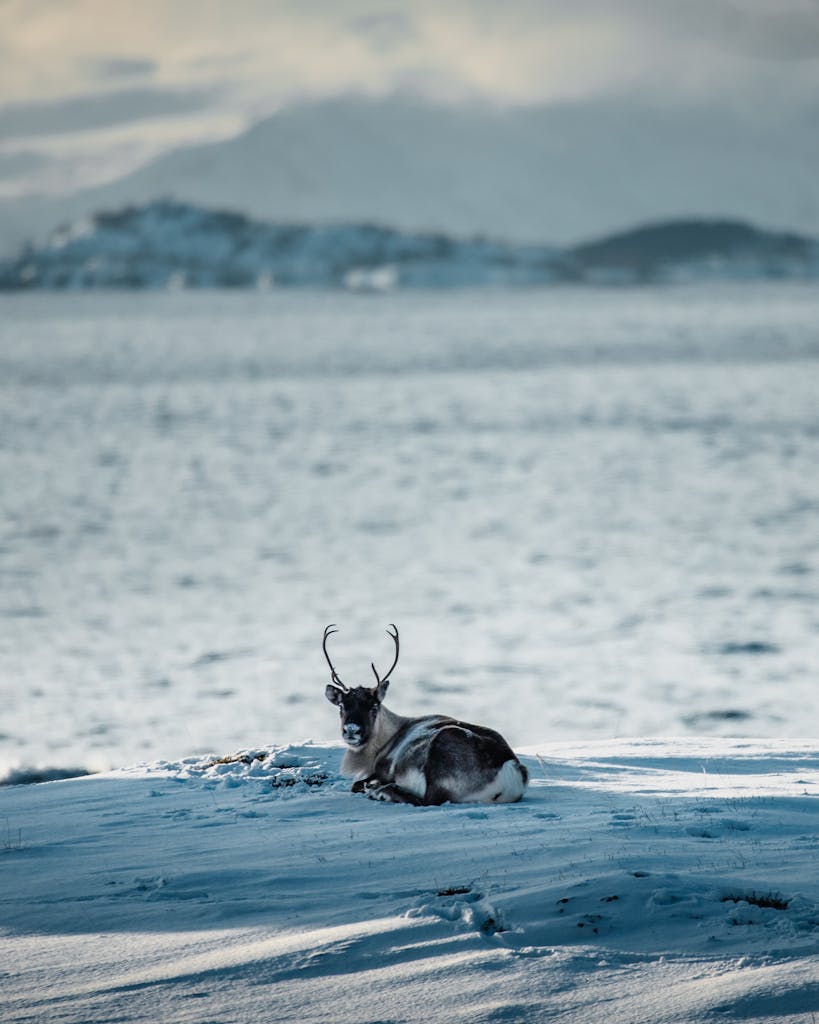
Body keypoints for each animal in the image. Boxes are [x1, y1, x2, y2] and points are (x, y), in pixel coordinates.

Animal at [323, 624, 528, 805]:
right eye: (341, 706)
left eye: (374, 707)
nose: (352, 730)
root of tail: (510, 771)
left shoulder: (383, 769)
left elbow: (356, 784)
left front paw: (371, 787)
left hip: (442, 751)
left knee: (425, 801)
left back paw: (381, 792)